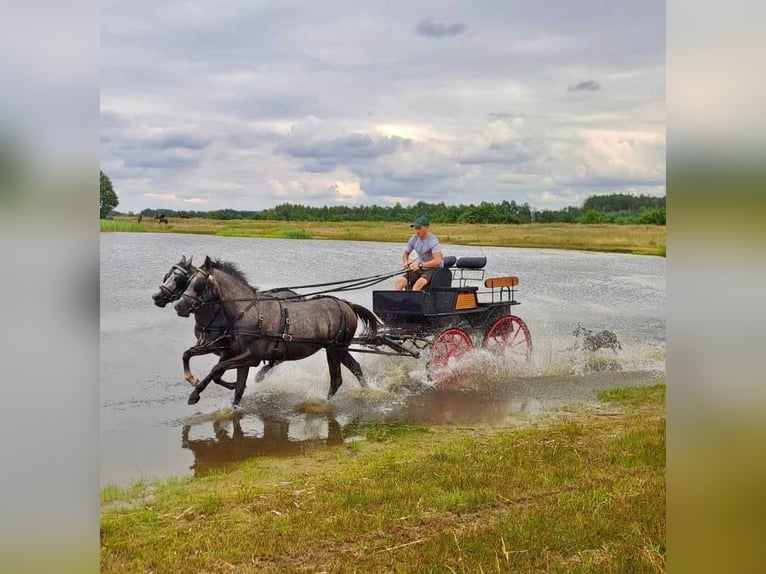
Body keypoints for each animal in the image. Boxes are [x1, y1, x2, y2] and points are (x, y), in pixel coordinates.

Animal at [152, 258, 300, 396]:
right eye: (167, 275)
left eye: (179, 278)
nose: (156, 297)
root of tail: (295, 295)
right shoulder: (210, 346)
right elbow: (187, 355)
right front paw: (193, 380)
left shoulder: (228, 351)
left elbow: (217, 374)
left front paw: (233, 385)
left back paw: (260, 375)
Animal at [172, 256, 380, 404]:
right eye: (188, 281)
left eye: (198, 284)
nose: (178, 306)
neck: (247, 312)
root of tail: (347, 305)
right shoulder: (237, 354)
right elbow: (237, 389)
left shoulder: (251, 357)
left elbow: (218, 368)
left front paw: (194, 394)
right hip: (339, 349)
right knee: (356, 368)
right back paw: (368, 392)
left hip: (334, 349)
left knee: (336, 380)